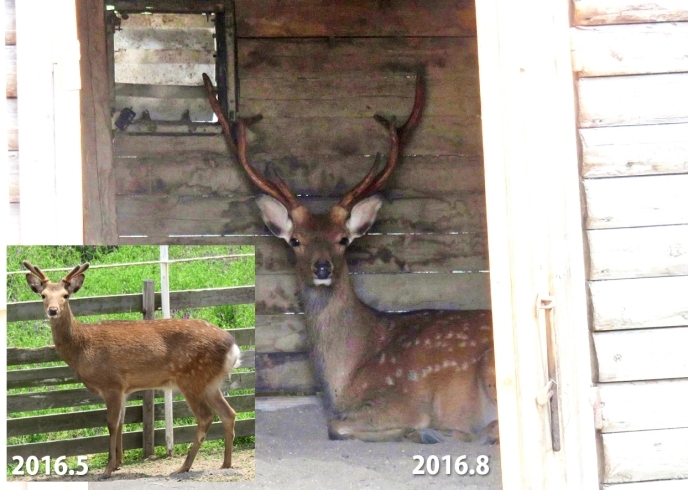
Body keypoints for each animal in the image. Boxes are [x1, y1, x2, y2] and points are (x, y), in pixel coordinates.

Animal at [22, 260, 242, 478]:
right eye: (43, 295)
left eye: (65, 296)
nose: (52, 310)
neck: (83, 349)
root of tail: (233, 347)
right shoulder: (124, 389)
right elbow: (121, 422)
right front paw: (118, 463)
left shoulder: (112, 383)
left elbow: (111, 423)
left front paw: (108, 469)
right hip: (210, 383)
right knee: (229, 413)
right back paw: (226, 463)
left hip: (191, 378)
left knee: (206, 417)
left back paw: (184, 467)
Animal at [202, 72, 498, 444]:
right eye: (296, 241)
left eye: (343, 239)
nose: (322, 266)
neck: (345, 377)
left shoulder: (405, 399)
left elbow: (337, 425)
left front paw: (421, 431)